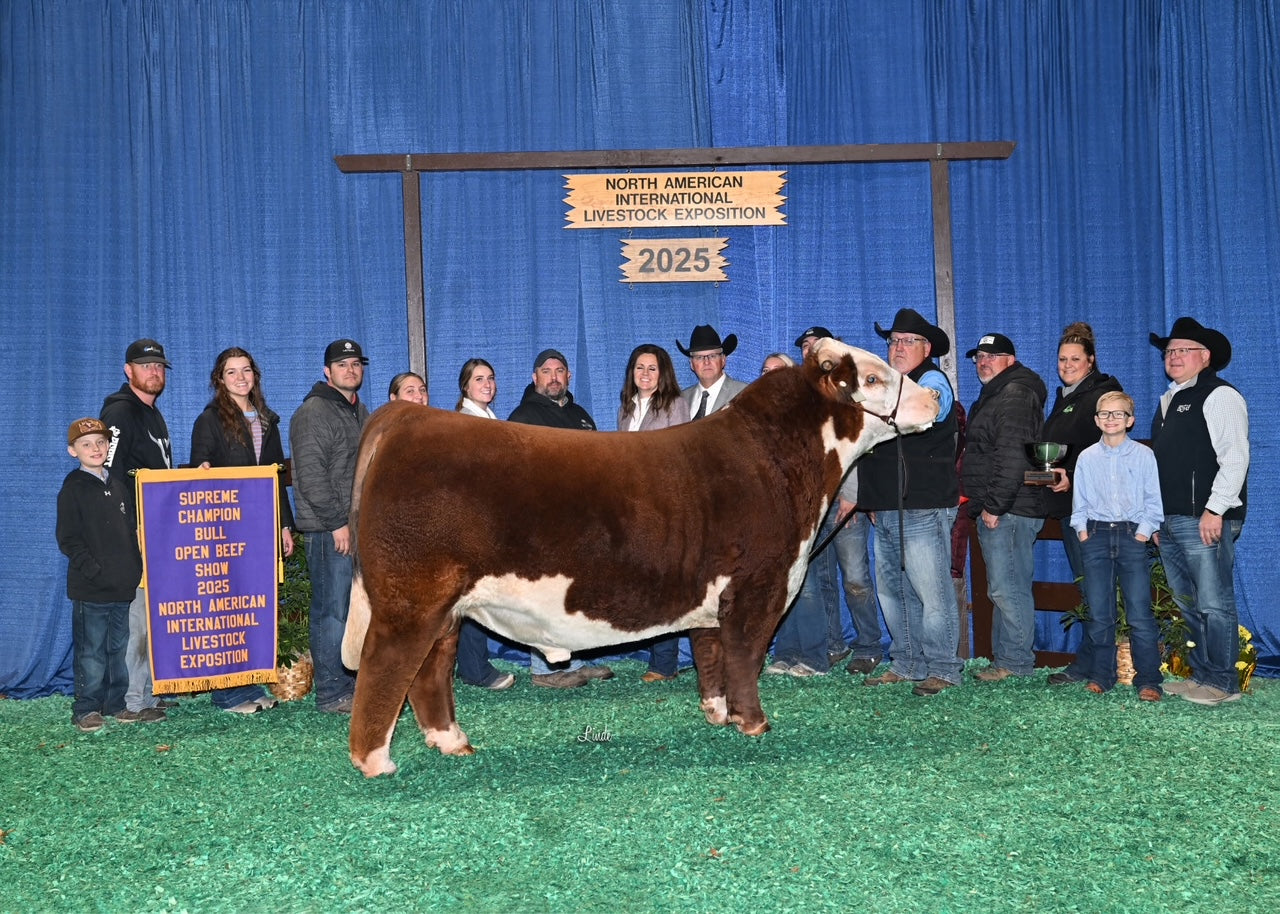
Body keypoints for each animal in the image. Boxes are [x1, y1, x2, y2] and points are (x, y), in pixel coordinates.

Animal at [340, 339, 938, 776]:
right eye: (874, 377)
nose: (935, 400)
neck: (778, 463)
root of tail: (404, 417)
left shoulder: (712, 595)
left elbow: (712, 655)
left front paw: (717, 714)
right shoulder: (758, 586)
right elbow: (745, 657)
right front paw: (754, 723)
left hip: (445, 608)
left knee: (430, 670)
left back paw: (451, 742)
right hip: (410, 601)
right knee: (385, 665)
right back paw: (375, 762)